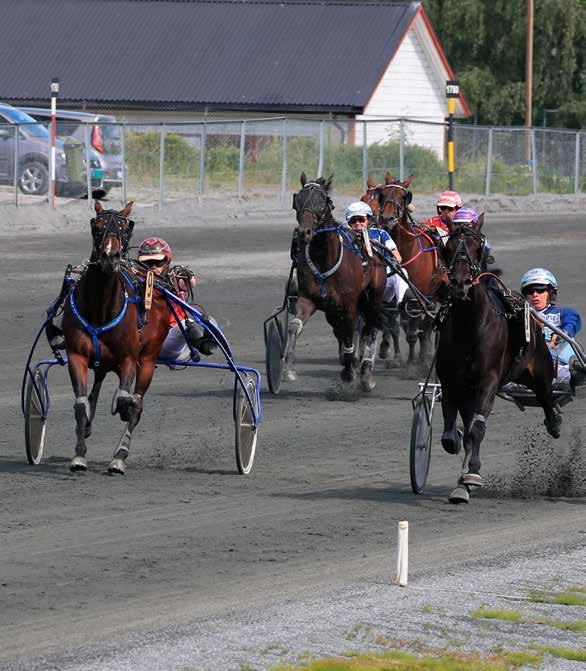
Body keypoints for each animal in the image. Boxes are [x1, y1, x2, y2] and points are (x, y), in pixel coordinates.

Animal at [62, 202, 171, 476]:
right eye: (97, 225)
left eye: (125, 226)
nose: (110, 256)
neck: (101, 307)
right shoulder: (76, 356)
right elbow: (81, 405)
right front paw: (79, 454)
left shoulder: (129, 359)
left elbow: (126, 400)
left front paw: (123, 409)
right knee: (97, 387)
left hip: (149, 358)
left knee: (137, 403)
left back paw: (120, 456)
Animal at [282, 175, 386, 394]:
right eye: (297, 202)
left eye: (322, 203)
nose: (304, 232)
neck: (325, 258)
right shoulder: (309, 299)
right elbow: (294, 327)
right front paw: (289, 369)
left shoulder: (349, 305)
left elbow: (348, 337)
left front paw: (348, 375)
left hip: (374, 297)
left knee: (370, 328)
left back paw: (365, 374)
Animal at [358, 172, 444, 372]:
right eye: (383, 195)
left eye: (404, 197)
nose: (387, 218)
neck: (405, 251)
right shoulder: (390, 295)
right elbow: (395, 326)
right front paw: (394, 355)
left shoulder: (416, 298)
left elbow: (413, 330)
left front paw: (413, 363)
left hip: (432, 294)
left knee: (425, 325)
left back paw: (425, 355)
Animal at [436, 217, 560, 504]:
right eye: (448, 246)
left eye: (476, 246)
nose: (461, 283)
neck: (469, 326)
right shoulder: (451, 383)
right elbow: (451, 433)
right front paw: (461, 473)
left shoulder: (488, 381)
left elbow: (477, 428)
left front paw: (471, 475)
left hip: (538, 368)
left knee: (546, 395)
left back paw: (554, 421)